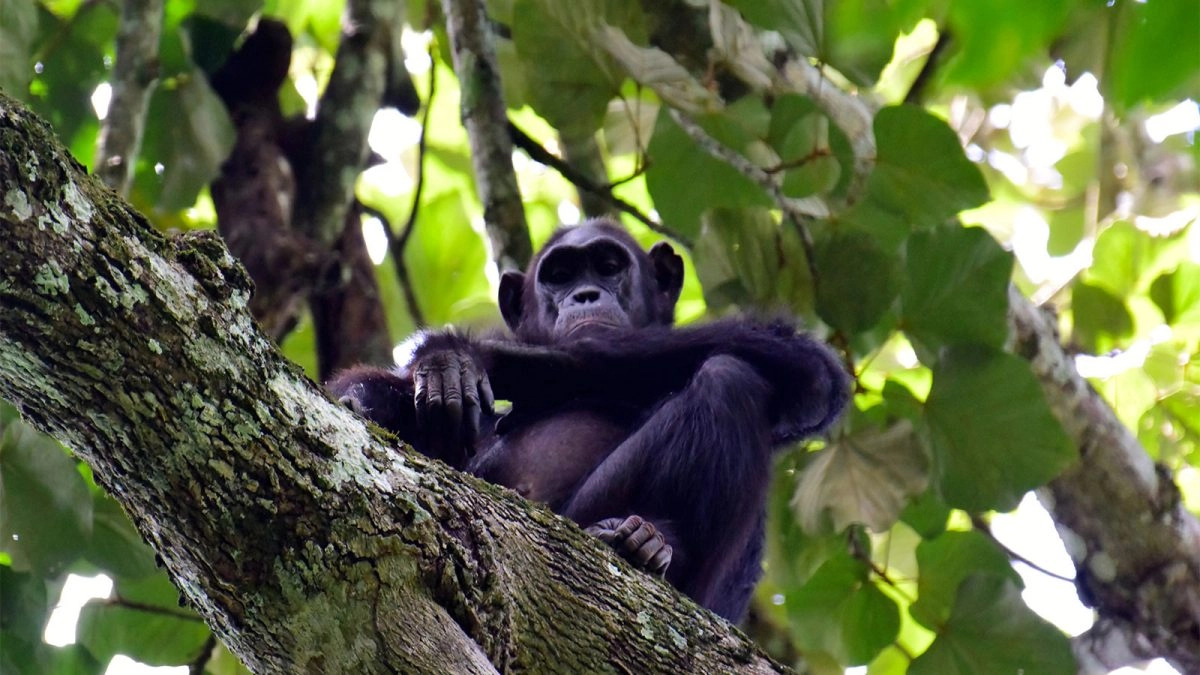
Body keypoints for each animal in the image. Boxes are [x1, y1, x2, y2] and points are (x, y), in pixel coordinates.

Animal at [331, 216, 854, 619]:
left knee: (729, 378)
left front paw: (462, 353)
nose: (584, 294)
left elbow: (806, 368)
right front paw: (424, 372)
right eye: (559, 274)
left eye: (608, 266)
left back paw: (650, 542)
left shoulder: (801, 373)